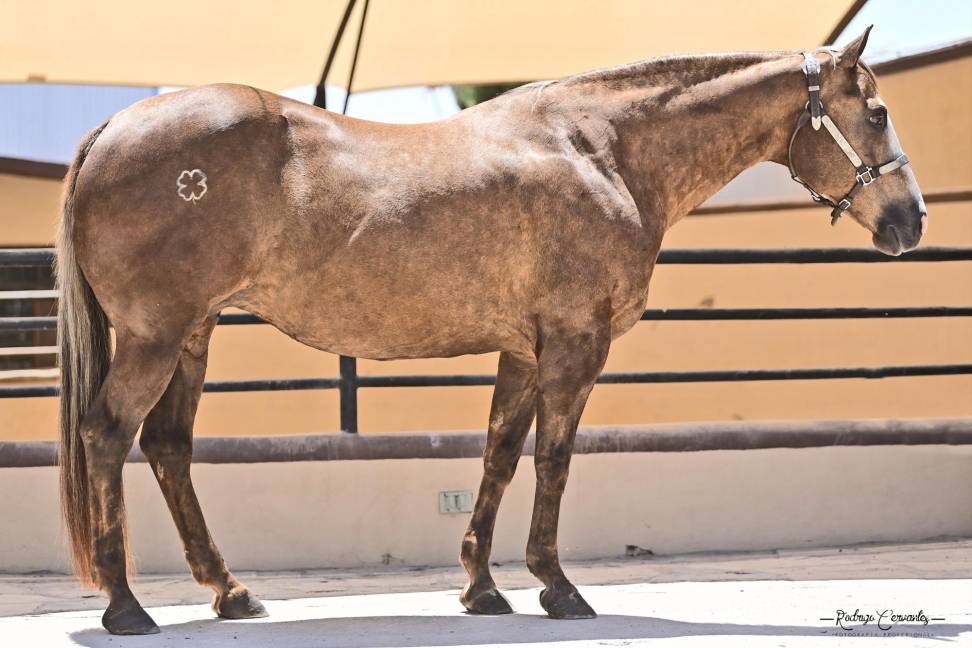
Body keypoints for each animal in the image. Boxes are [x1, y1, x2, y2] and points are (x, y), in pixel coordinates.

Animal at [57, 27, 924, 636]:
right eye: (877, 113)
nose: (911, 220)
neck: (599, 152)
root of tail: (111, 127)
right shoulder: (574, 345)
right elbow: (554, 460)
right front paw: (556, 585)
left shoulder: (522, 351)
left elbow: (500, 456)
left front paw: (482, 588)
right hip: (156, 337)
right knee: (107, 435)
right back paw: (127, 607)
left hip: (192, 336)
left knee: (167, 447)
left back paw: (230, 592)